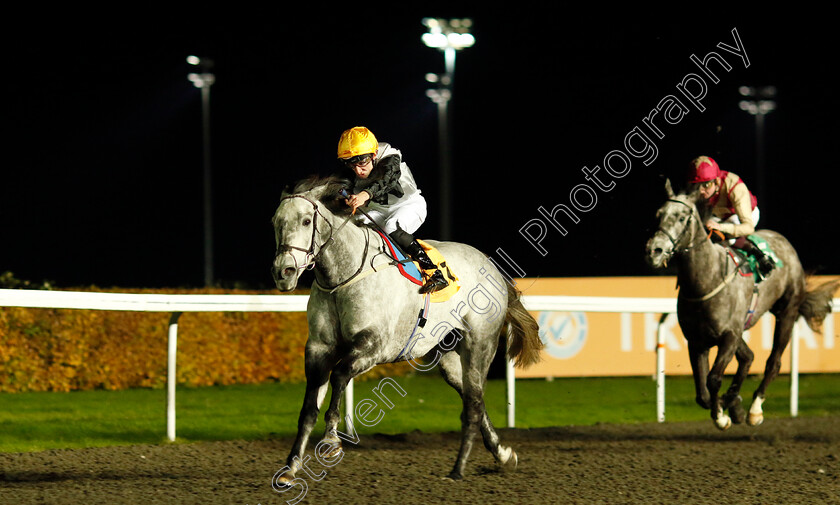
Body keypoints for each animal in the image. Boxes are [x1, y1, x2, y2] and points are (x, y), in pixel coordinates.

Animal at [270, 176, 544, 480]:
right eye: (276, 221)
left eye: (306, 221)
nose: (283, 272)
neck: (344, 277)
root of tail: (492, 265)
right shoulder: (319, 348)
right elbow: (308, 408)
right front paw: (290, 467)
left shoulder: (375, 345)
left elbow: (340, 376)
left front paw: (331, 440)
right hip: (446, 356)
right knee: (475, 398)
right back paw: (503, 454)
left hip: (480, 343)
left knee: (473, 404)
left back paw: (458, 469)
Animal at [648, 179, 836, 428]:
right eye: (658, 214)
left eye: (681, 217)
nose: (654, 251)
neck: (706, 280)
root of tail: (783, 240)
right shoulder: (697, 341)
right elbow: (702, 394)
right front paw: (728, 406)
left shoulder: (728, 335)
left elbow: (713, 378)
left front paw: (722, 416)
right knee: (749, 357)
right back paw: (735, 402)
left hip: (787, 312)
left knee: (773, 362)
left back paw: (755, 410)